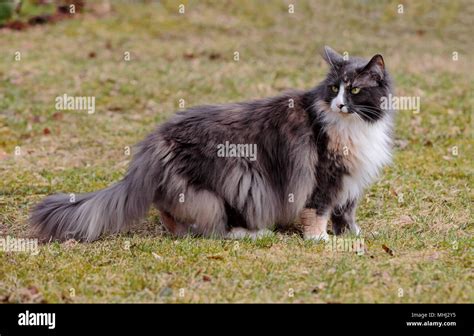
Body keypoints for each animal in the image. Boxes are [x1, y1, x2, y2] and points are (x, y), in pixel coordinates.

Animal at [27, 46, 394, 242]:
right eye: (334, 88)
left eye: (354, 90)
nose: (339, 104)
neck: (354, 126)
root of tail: (157, 137)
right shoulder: (325, 176)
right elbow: (318, 211)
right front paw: (319, 239)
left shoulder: (350, 180)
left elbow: (345, 212)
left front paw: (353, 235)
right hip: (238, 180)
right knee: (210, 224)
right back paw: (251, 233)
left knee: (170, 211)